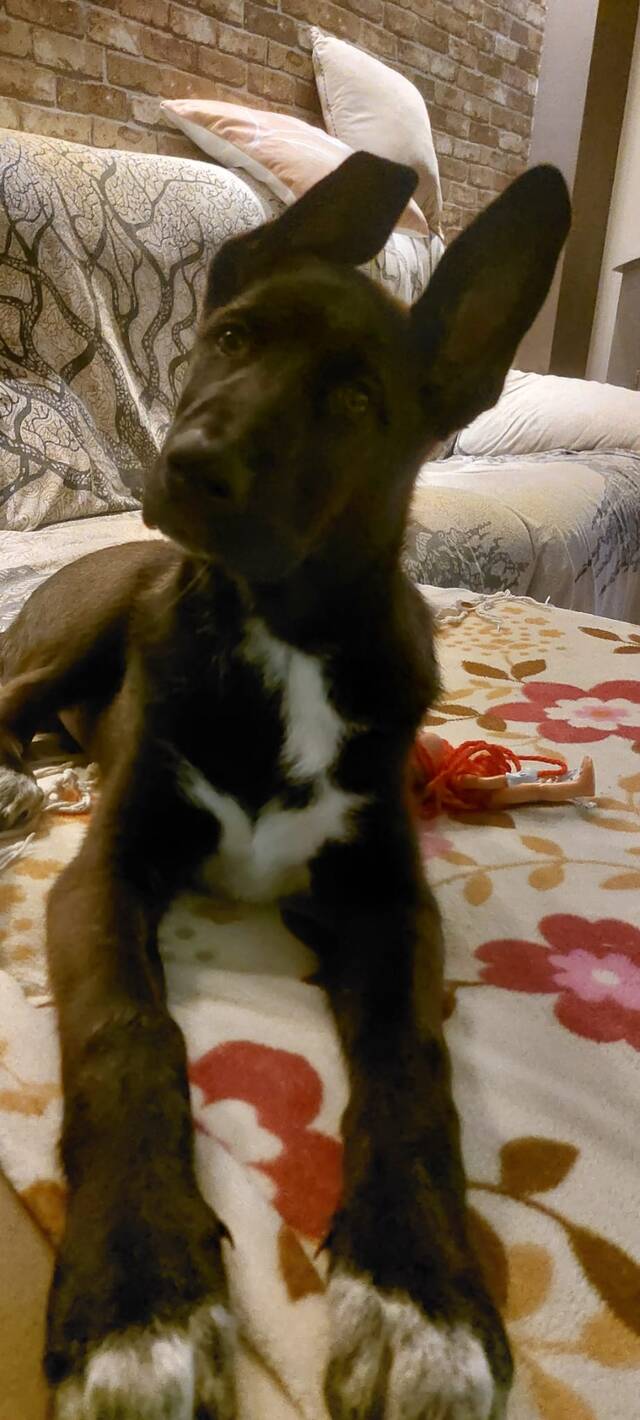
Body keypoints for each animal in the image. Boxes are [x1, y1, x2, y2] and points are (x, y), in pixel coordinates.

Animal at [0, 152, 569, 1420]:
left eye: (356, 400)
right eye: (229, 336)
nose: (191, 466)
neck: (283, 631)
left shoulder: (388, 901)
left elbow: (411, 1062)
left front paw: (419, 1301)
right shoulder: (105, 876)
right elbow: (130, 1034)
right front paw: (141, 1301)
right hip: (82, 627)